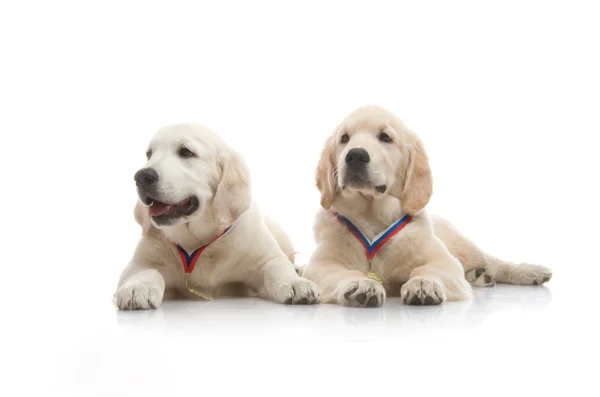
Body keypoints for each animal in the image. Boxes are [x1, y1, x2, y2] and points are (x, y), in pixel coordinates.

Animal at [113, 122, 318, 308]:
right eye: (149, 154)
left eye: (186, 152)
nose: (141, 176)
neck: (197, 242)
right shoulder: (139, 262)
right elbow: (146, 271)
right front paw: (138, 287)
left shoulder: (262, 256)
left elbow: (276, 266)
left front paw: (296, 283)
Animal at [304, 104, 552, 306]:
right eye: (344, 138)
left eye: (385, 137)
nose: (355, 156)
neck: (373, 215)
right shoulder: (320, 264)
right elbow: (342, 273)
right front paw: (361, 284)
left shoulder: (444, 261)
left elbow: (426, 268)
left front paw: (424, 284)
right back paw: (479, 276)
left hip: (464, 247)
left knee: (493, 261)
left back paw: (530, 271)